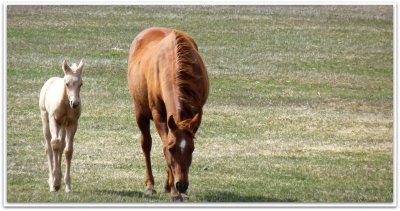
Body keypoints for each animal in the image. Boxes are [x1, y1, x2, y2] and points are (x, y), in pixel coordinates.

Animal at [39, 60, 83, 192]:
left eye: (81, 84)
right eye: (67, 83)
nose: (75, 103)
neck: (65, 104)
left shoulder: (73, 124)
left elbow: (68, 150)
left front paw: (67, 185)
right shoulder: (53, 120)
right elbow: (54, 145)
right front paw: (55, 182)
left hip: (63, 126)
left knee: (62, 145)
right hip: (45, 118)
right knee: (49, 146)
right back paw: (51, 181)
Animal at [127, 27, 209, 201]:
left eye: (192, 149)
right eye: (171, 149)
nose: (182, 185)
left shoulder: (196, 115)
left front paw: (178, 191)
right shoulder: (158, 115)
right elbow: (164, 142)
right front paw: (174, 191)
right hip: (140, 112)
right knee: (146, 144)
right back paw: (150, 185)